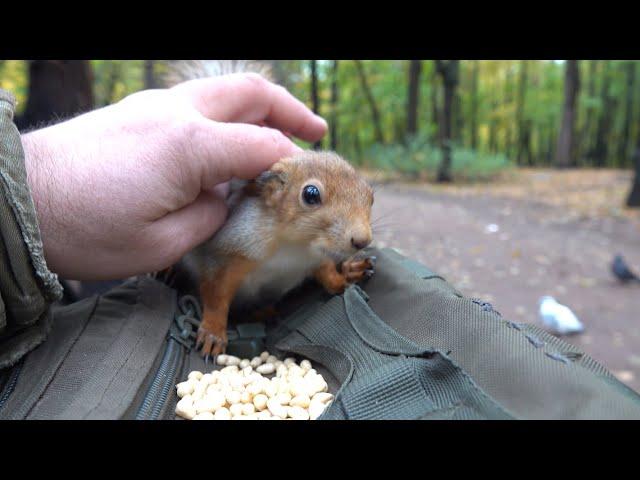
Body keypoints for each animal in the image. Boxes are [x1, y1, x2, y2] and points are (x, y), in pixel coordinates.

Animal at [164, 61, 376, 360]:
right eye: (311, 194)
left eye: (371, 196)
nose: (361, 241)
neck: (294, 247)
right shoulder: (224, 252)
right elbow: (215, 294)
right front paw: (213, 331)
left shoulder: (316, 258)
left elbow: (327, 274)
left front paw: (345, 274)